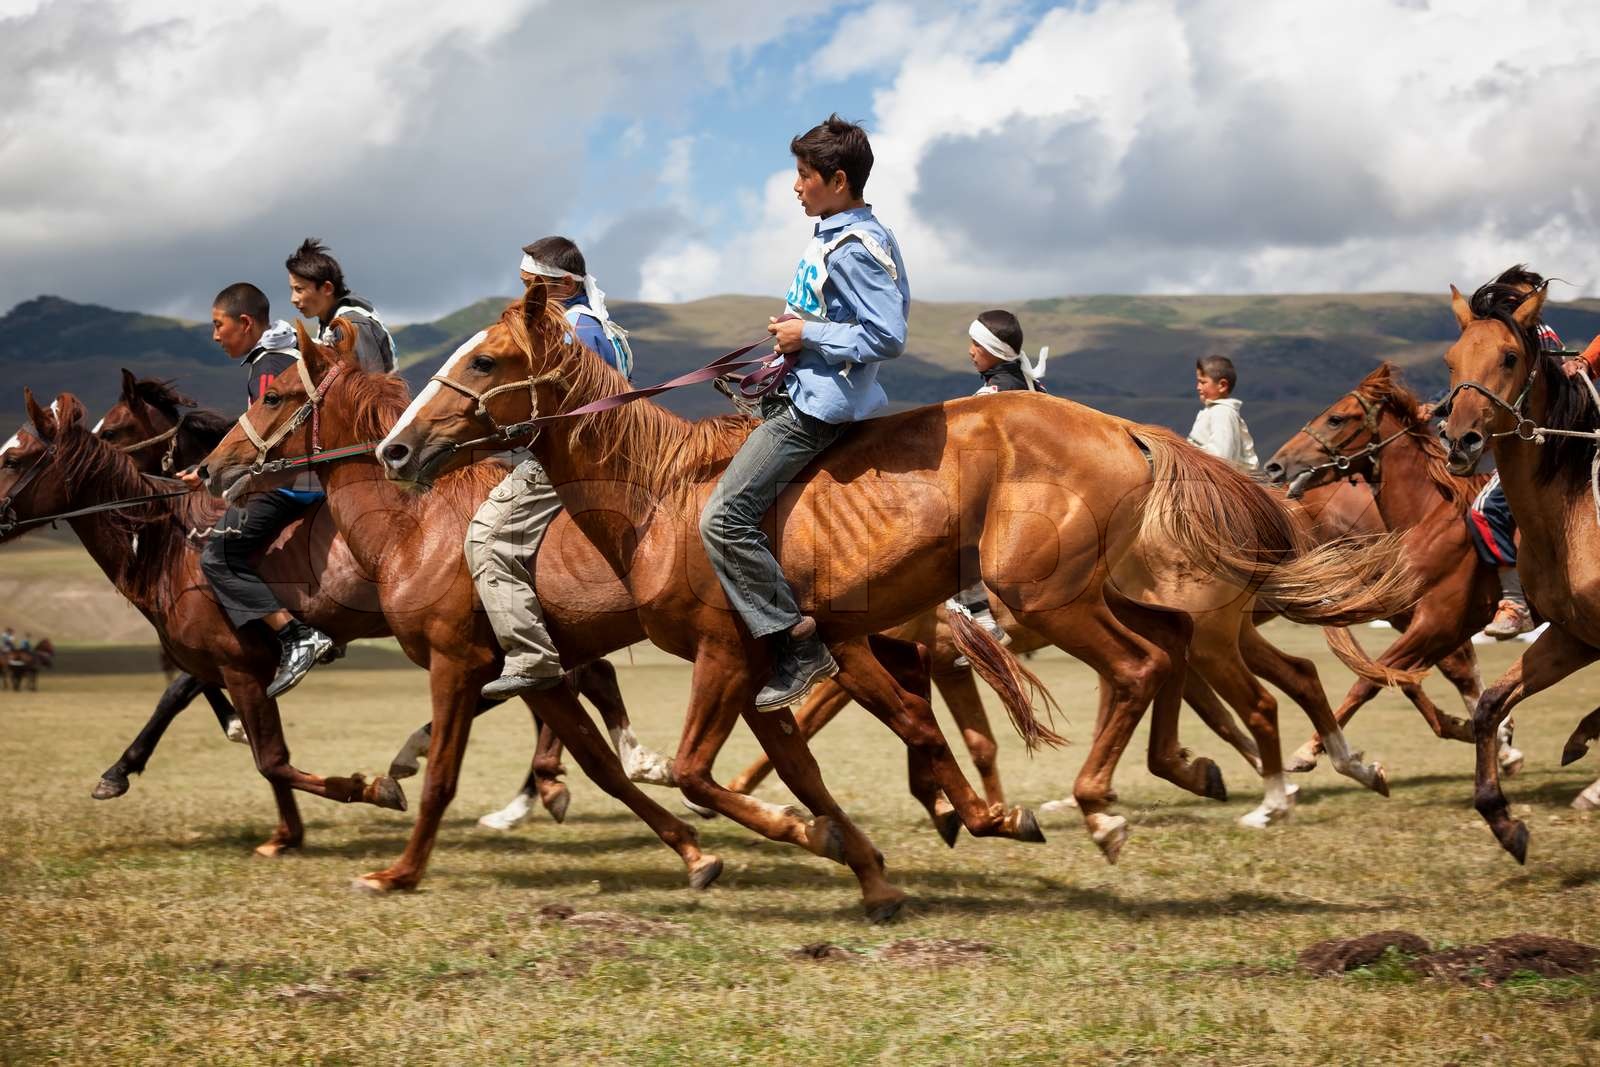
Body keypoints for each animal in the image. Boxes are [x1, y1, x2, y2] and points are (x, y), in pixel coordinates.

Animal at [199, 320, 1059, 921]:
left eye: (272, 395)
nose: (207, 469)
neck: (417, 528)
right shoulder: (534, 671)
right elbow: (602, 766)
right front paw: (696, 854)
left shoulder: (457, 662)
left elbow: (445, 774)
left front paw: (397, 868)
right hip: (847, 643)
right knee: (911, 717)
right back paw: (961, 817)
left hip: (865, 639)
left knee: (919, 713)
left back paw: (974, 813)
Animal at [376, 285, 1418, 878]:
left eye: (488, 359)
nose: (393, 447)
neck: (661, 493)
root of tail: (1130, 430)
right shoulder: (810, 655)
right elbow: (881, 742)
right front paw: (921, 832)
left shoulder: (731, 653)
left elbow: (699, 770)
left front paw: (832, 834)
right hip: (1111, 596)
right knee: (1182, 659)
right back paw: (1197, 773)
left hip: (1051, 597)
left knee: (1148, 670)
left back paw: (1109, 806)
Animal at [1263, 362, 1528, 775]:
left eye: (1336, 418)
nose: (1276, 465)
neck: (1433, 518)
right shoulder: (1438, 626)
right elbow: (1415, 675)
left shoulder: (1437, 622)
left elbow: (1369, 679)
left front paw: (1311, 752)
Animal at [1439, 278, 1600, 861]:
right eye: (1451, 360)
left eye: (1509, 357)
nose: (1459, 440)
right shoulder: (1575, 637)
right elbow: (1489, 705)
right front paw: (1504, 821)